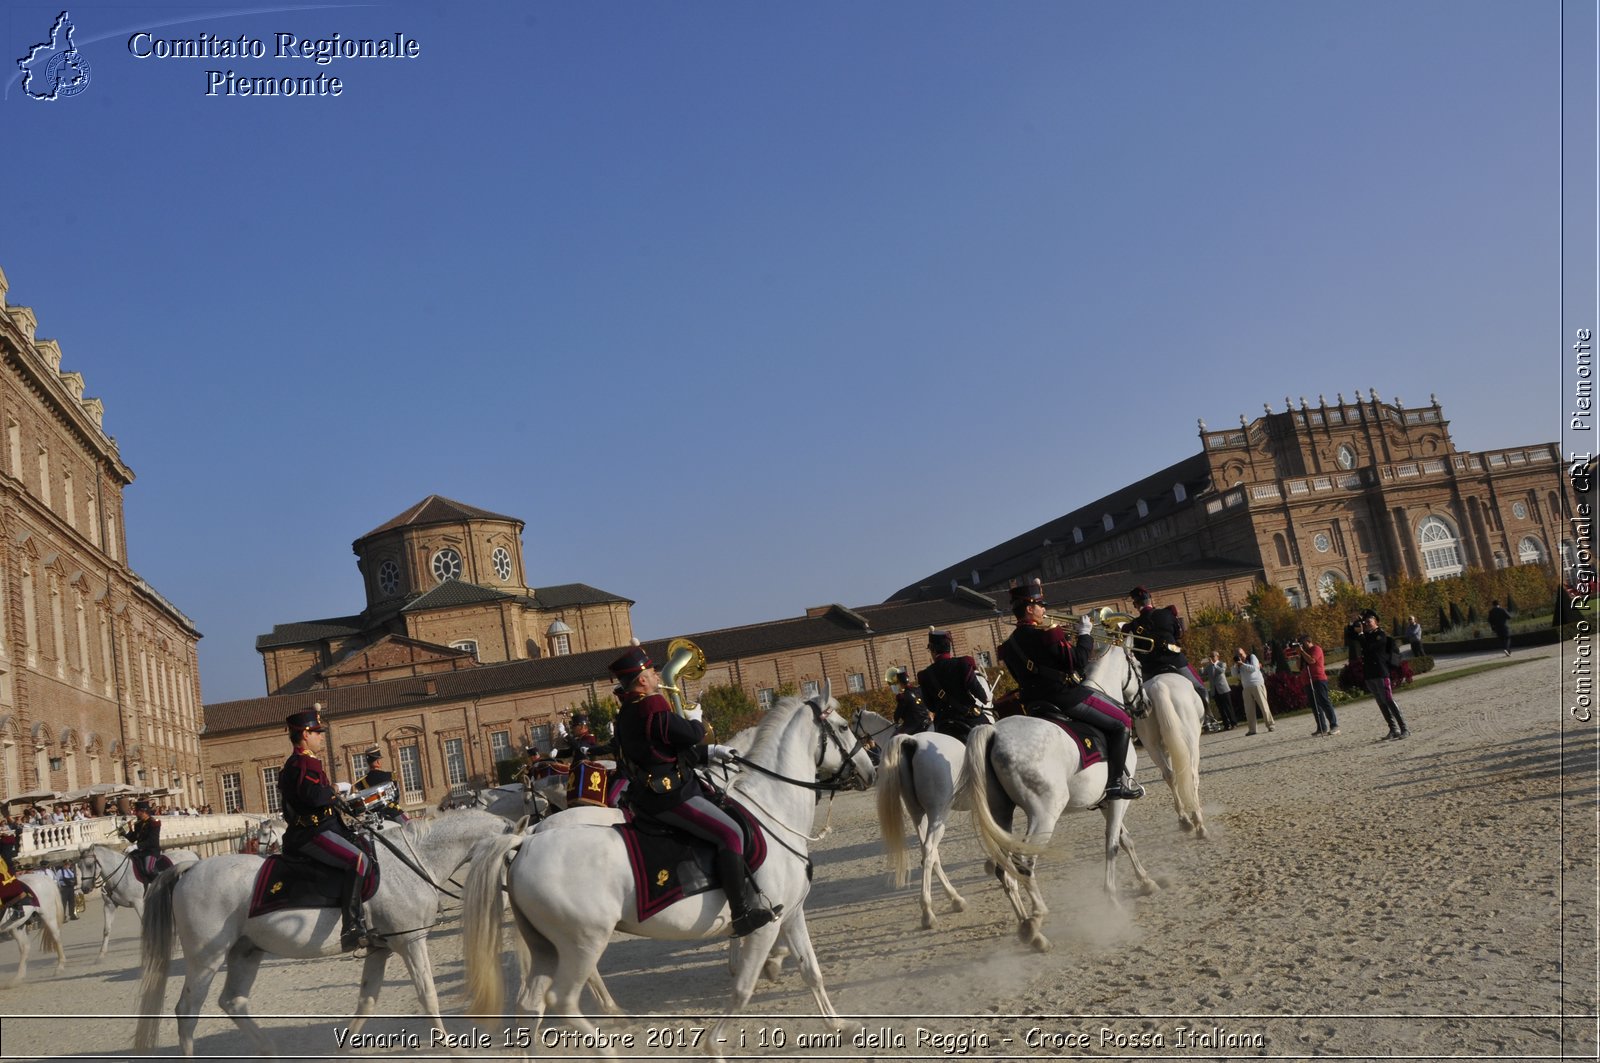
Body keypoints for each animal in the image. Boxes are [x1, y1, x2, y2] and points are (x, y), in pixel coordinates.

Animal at [137, 813, 515, 1056]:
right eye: (515, 854)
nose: (516, 894)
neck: (410, 862)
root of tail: (192, 867)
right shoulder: (410, 942)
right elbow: (428, 996)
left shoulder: (380, 949)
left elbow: (367, 1001)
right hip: (206, 959)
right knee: (187, 1012)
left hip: (246, 952)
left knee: (232, 1001)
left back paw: (270, 1050)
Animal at [464, 688, 876, 1056]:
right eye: (843, 726)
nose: (870, 770)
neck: (771, 807)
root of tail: (527, 841)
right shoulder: (767, 924)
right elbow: (742, 989)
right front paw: (714, 1045)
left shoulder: (790, 915)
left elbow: (811, 971)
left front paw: (840, 1026)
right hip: (582, 942)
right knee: (562, 1000)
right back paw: (610, 1042)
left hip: (548, 947)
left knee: (531, 1006)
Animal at [864, 710, 972, 928]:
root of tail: (912, 741)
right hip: (938, 814)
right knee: (930, 850)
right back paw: (928, 912)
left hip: (918, 814)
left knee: (928, 852)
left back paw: (954, 899)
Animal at [953, 643, 1158, 947]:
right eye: (1141, 667)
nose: (1146, 706)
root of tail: (994, 732)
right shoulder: (1118, 798)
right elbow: (1112, 844)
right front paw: (1112, 898)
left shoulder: (1106, 802)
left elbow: (1125, 840)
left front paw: (1146, 882)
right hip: (1045, 814)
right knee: (1024, 864)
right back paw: (1036, 919)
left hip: (1000, 813)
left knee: (1005, 869)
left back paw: (1029, 930)